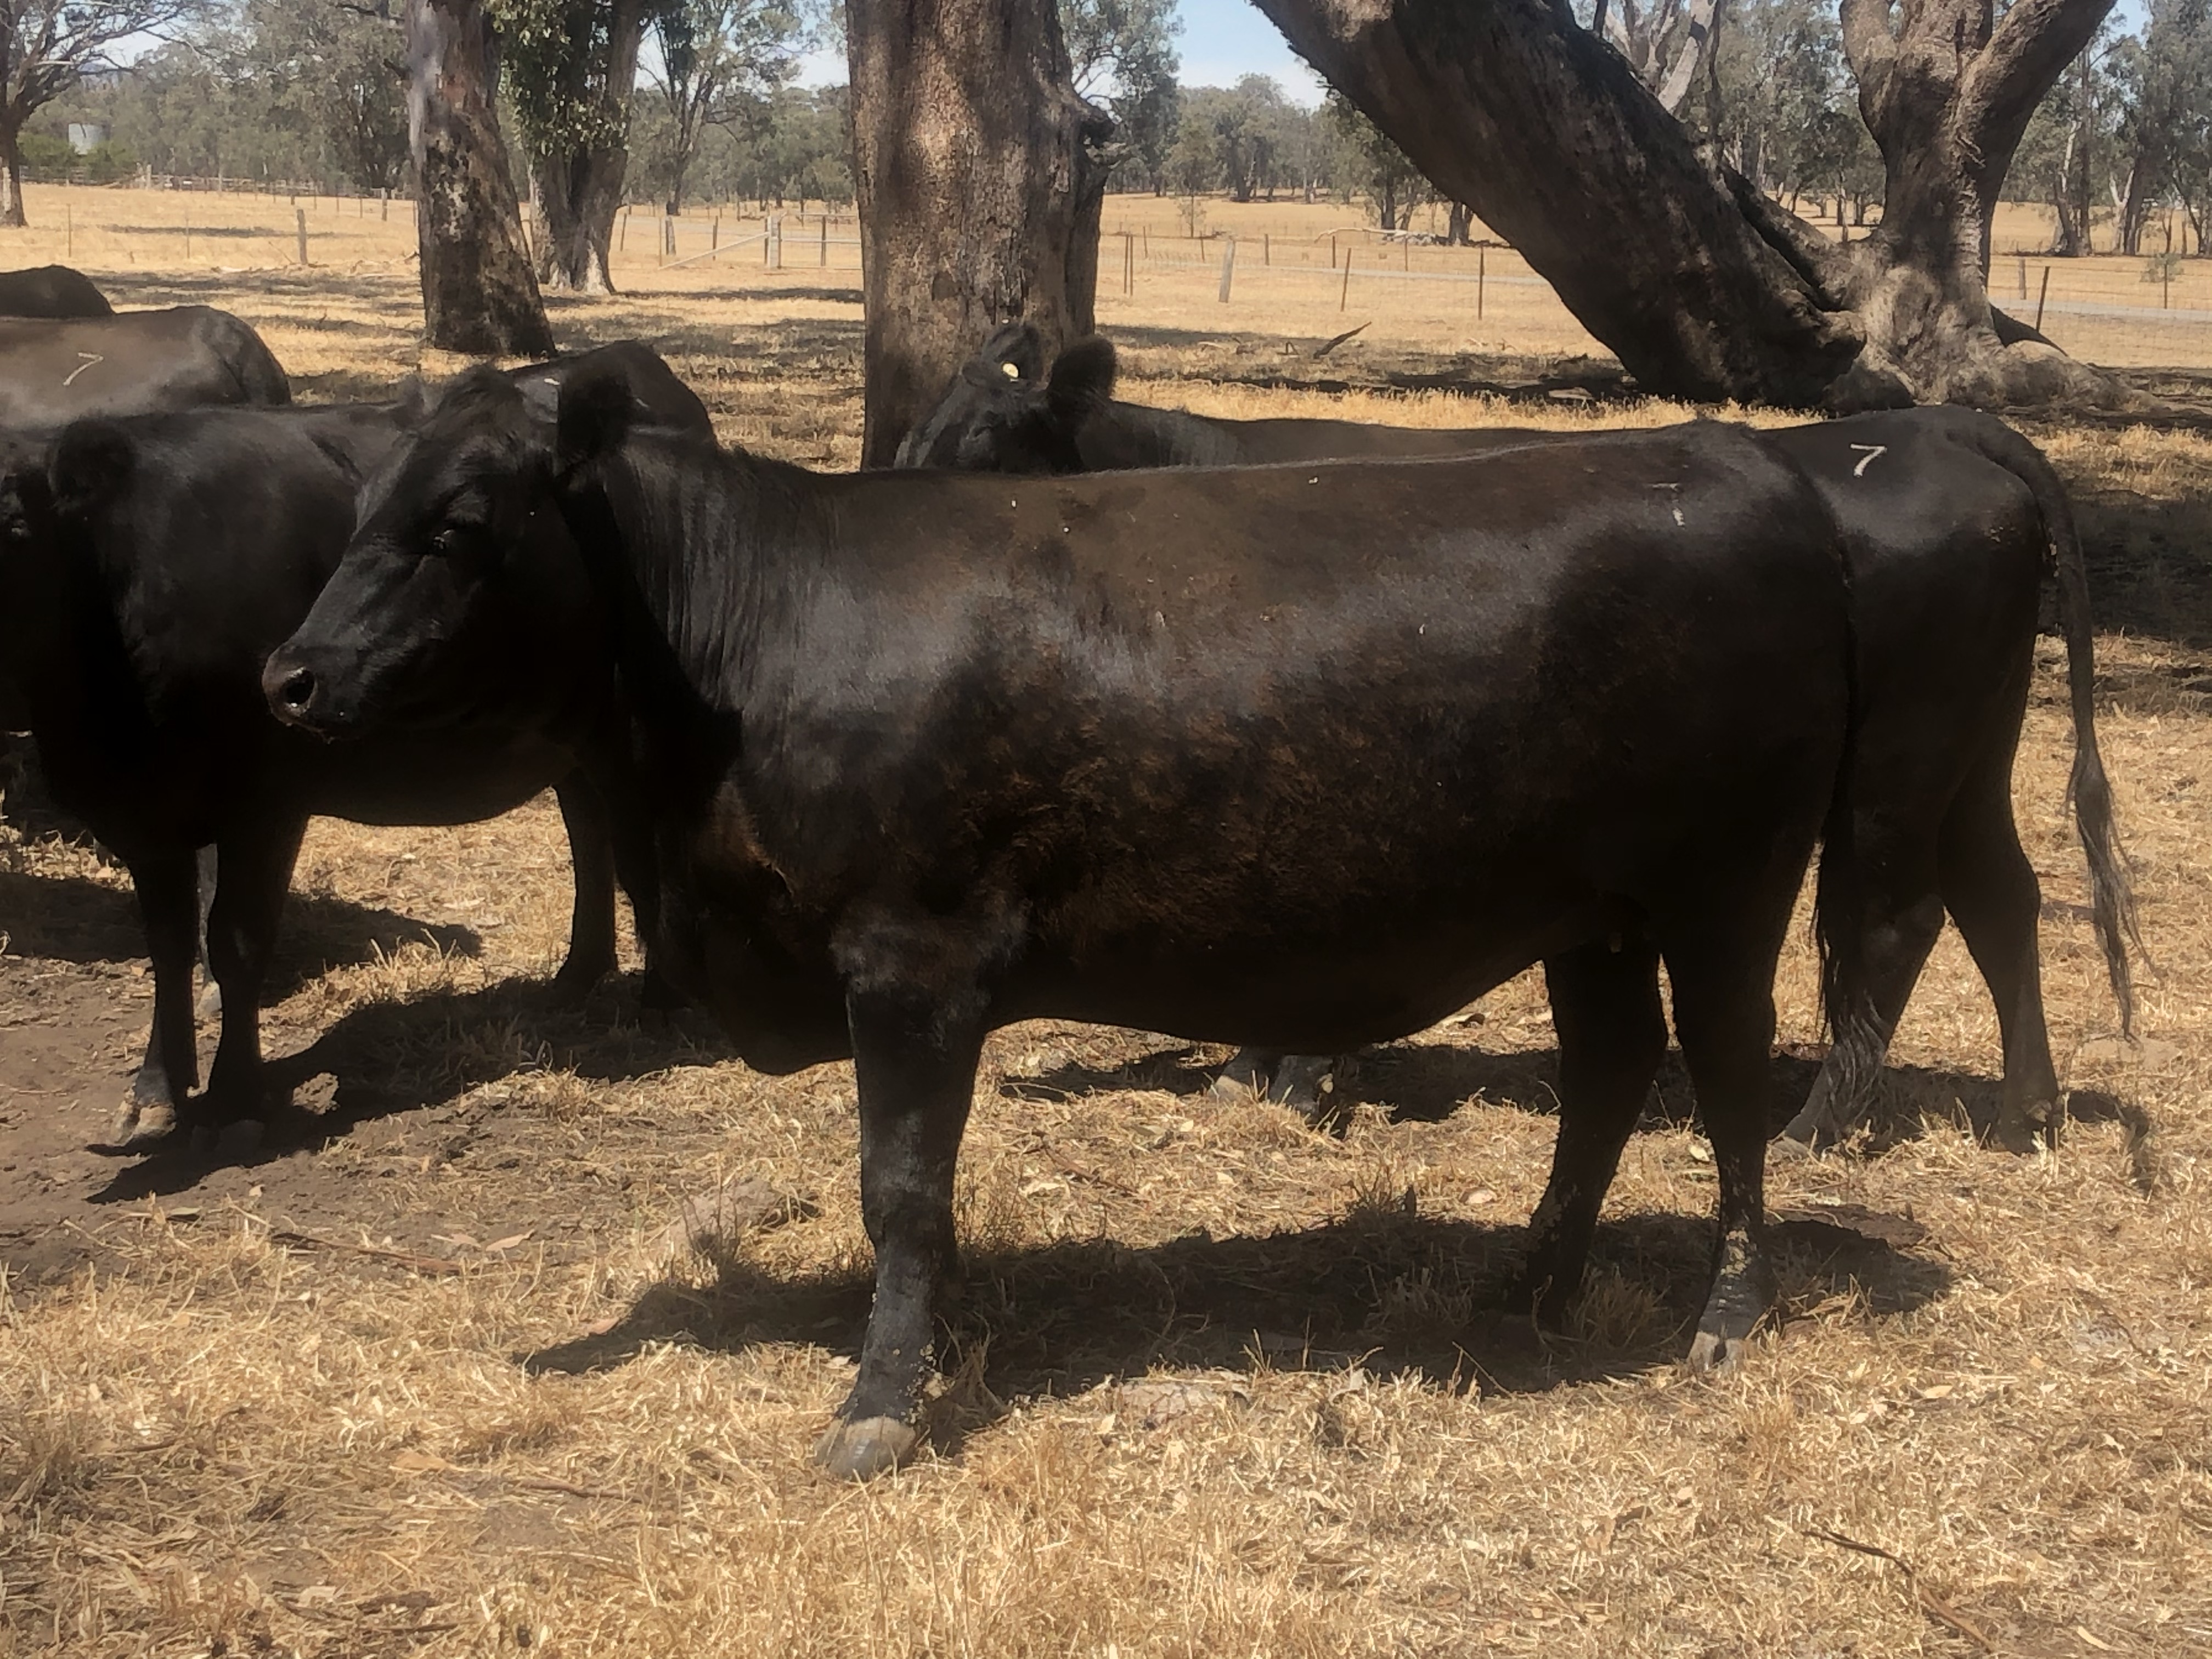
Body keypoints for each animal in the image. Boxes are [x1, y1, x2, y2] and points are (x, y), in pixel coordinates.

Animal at [0, 344, 707, 1152]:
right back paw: (579, 974)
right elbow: (169, 948)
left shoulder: (267, 801)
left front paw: (235, 1098)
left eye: (13, 524)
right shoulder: (147, 816)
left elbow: (237, 941)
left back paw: (658, 996)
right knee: (591, 833)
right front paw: (155, 1092)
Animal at [263, 364, 1870, 1478]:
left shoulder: (911, 962)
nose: (288, 676)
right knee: (1607, 1072)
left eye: (461, 523)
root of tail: (1731, 455)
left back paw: (1725, 1318)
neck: (749, 632)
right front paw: (936, 1346)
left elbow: (900, 1188)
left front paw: (880, 1403)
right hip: (1588, 911)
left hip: (1727, 888)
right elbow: (923, 1195)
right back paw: (1528, 1281)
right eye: (362, 504)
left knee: (1728, 1084)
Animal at [896, 325, 2137, 1153]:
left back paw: (1817, 1124)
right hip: (1971, 745)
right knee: (2001, 895)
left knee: (1897, 920)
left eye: (989, 442)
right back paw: (2025, 1111)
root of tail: (1934, 429)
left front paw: (1295, 1074)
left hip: (1893, 764)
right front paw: (1258, 1065)